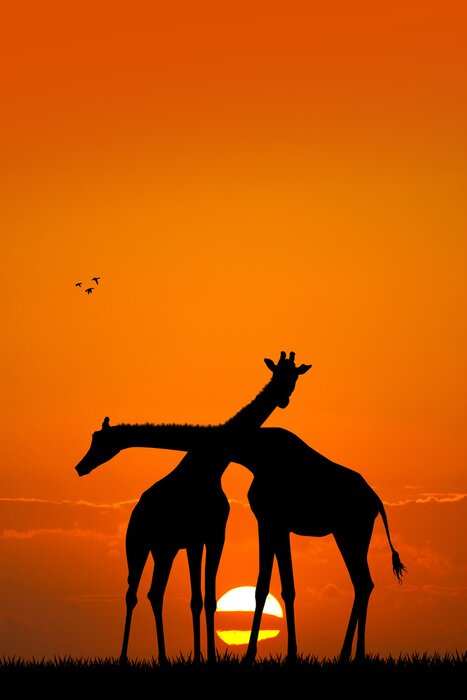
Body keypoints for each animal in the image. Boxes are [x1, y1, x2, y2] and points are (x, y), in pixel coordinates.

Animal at [75, 352, 311, 664]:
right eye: (275, 374)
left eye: (293, 377)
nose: (80, 467)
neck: (211, 465)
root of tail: (135, 512)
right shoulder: (200, 539)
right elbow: (200, 599)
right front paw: (204, 655)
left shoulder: (207, 537)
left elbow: (204, 599)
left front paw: (206, 657)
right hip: (136, 545)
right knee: (132, 593)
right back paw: (125, 658)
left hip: (164, 549)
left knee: (155, 592)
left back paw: (163, 658)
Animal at [76, 425, 406, 664]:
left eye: (99, 441)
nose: (81, 466)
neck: (252, 452)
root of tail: (376, 500)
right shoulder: (275, 524)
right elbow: (281, 587)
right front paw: (287, 654)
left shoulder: (269, 520)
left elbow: (264, 588)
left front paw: (253, 656)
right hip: (350, 534)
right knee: (364, 583)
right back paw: (351, 655)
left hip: (350, 532)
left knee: (363, 582)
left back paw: (350, 655)